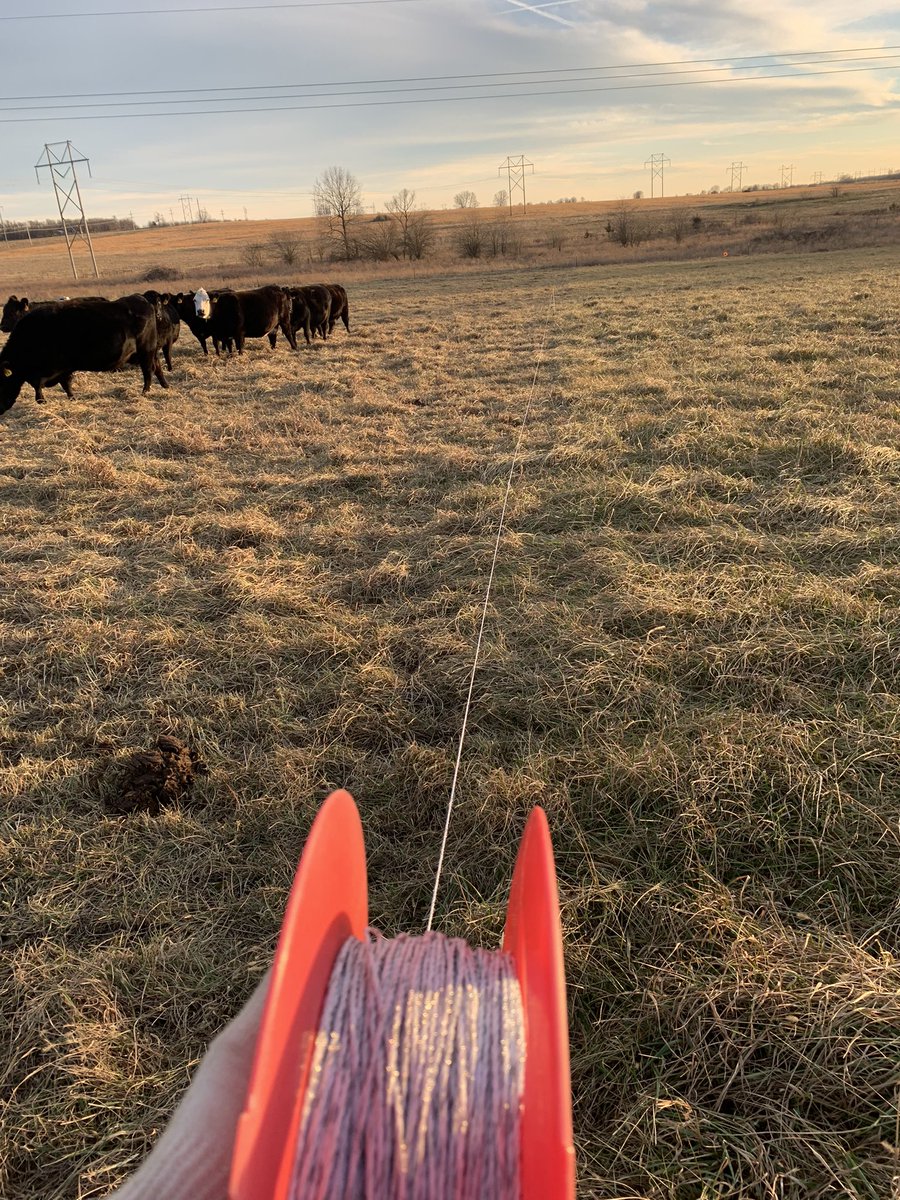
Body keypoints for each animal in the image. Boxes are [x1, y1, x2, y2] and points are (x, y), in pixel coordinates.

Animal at [0, 294, 167, 415]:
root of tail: (142, 300)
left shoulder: (51, 369)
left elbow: (40, 387)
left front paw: (43, 402)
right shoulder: (63, 368)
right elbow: (65, 385)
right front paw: (72, 399)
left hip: (146, 350)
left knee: (148, 372)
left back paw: (145, 392)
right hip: (149, 352)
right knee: (157, 367)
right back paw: (165, 386)